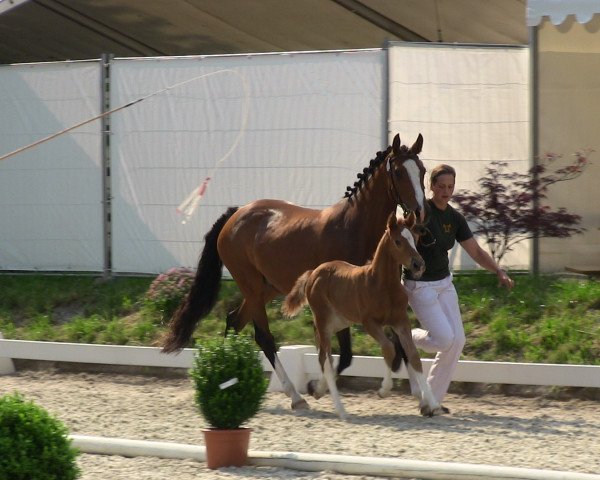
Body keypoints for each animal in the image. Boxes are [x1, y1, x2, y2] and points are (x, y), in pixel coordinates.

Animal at [163, 134, 426, 408]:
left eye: (422, 170)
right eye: (399, 172)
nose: (419, 213)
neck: (354, 226)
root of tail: (236, 214)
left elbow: (399, 348)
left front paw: (421, 396)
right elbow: (344, 355)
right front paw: (316, 388)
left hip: (267, 289)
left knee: (234, 322)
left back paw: (225, 375)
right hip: (252, 288)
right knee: (264, 337)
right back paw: (294, 396)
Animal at [282, 214, 440, 420]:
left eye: (414, 238)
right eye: (398, 241)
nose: (418, 265)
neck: (382, 285)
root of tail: (313, 273)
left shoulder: (400, 321)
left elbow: (413, 356)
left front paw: (433, 404)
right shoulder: (369, 323)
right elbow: (389, 348)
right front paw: (384, 390)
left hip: (338, 323)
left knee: (324, 356)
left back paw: (318, 390)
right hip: (323, 321)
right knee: (326, 360)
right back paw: (340, 409)